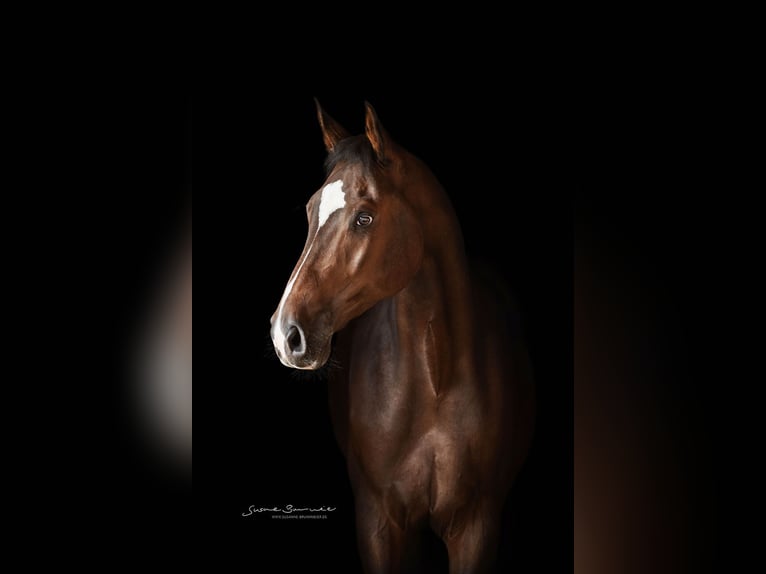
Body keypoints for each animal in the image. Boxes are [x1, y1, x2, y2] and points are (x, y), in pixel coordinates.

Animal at [270, 100, 535, 573]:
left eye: (364, 217)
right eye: (310, 209)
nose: (286, 334)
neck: (435, 381)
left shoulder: (477, 527)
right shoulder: (379, 522)